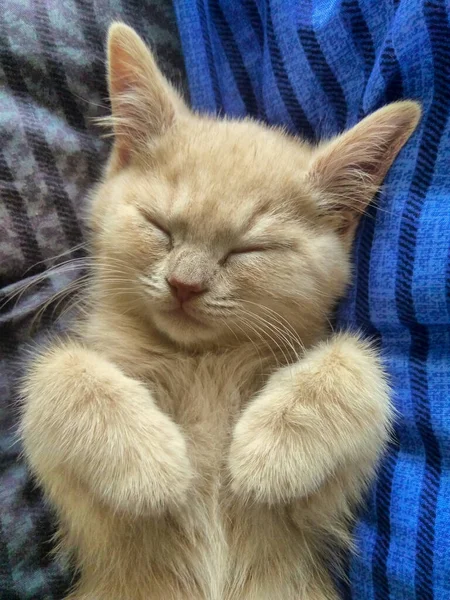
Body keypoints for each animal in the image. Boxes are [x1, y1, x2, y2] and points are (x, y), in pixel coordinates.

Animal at [20, 22, 422, 600]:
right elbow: (57, 371)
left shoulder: (323, 507)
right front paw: (153, 463)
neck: (200, 359)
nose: (184, 284)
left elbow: (357, 359)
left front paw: (267, 451)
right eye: (159, 225)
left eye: (248, 249)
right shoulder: (87, 512)